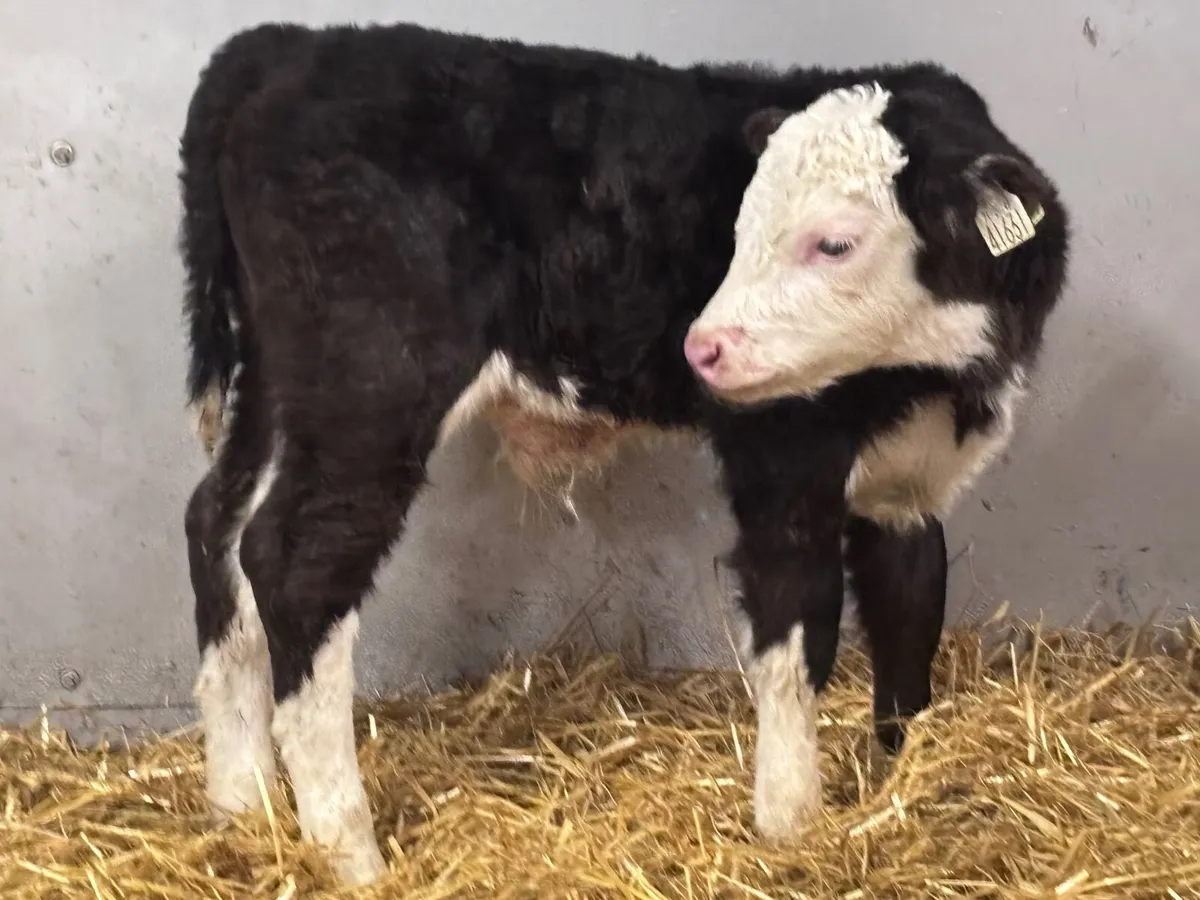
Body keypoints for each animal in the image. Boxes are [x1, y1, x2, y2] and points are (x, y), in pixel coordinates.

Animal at [178, 20, 1069, 885]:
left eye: (836, 244)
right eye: (739, 227)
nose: (702, 348)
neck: (939, 375)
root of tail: (286, 45)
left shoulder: (907, 491)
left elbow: (909, 621)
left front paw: (897, 786)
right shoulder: (781, 467)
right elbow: (795, 639)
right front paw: (790, 828)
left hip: (278, 385)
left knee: (219, 526)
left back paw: (243, 806)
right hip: (370, 384)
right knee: (295, 562)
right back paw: (348, 853)